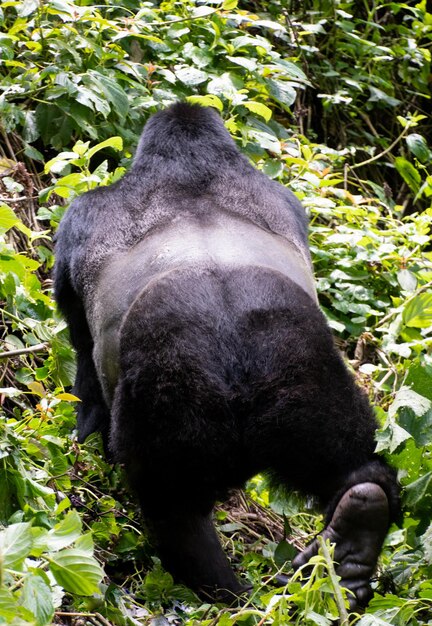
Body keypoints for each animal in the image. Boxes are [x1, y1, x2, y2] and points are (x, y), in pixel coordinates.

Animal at [54, 102, 402, 608]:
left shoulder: (78, 217)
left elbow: (83, 362)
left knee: (172, 507)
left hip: (176, 391)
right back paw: (356, 536)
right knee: (351, 461)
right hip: (309, 379)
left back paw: (222, 592)